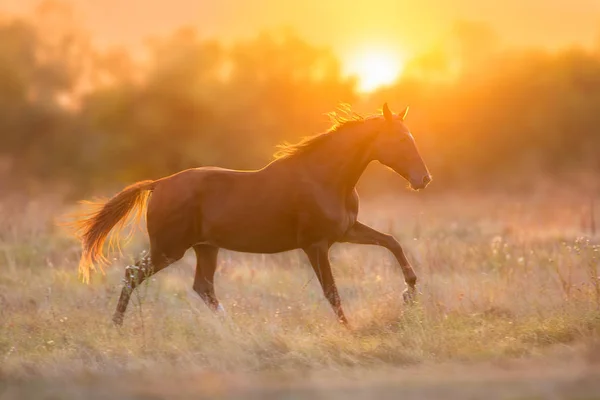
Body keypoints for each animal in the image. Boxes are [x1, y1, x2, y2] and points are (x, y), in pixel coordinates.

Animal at [71, 103, 432, 324]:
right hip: (169, 249)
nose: (423, 179)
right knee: (133, 274)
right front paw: (350, 330)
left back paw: (231, 328)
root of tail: (158, 184)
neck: (326, 178)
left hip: (205, 248)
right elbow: (332, 293)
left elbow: (392, 242)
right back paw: (116, 326)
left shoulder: (346, 232)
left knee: (203, 287)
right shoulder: (315, 245)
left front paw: (410, 293)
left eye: (412, 137)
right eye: (401, 139)